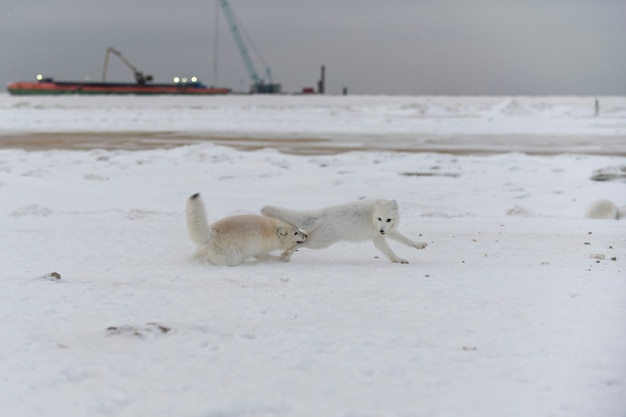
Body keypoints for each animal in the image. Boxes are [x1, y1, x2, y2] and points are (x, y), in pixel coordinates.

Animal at [260, 199, 426, 264]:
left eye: (388, 220)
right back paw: (285, 256)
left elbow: (406, 240)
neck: (372, 216)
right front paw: (399, 260)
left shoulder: (385, 234)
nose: (381, 230)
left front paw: (418, 245)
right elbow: (390, 251)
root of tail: (323, 213)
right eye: (379, 218)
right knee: (295, 245)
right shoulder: (378, 238)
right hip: (320, 243)